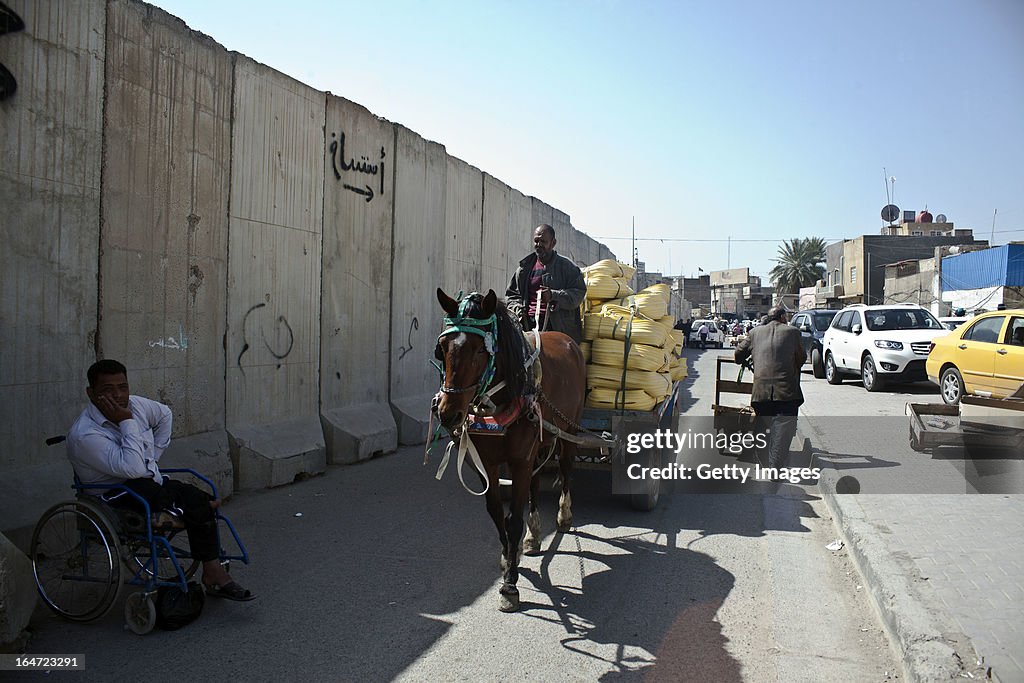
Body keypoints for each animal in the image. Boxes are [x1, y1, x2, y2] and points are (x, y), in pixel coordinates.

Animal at [432, 286, 585, 610]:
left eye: (481, 350)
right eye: (442, 347)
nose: (447, 413)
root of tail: (566, 340)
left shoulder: (519, 459)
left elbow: (513, 519)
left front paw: (510, 585)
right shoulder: (487, 462)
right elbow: (495, 511)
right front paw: (508, 557)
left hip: (569, 428)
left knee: (566, 468)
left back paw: (564, 515)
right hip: (542, 440)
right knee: (536, 481)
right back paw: (534, 535)